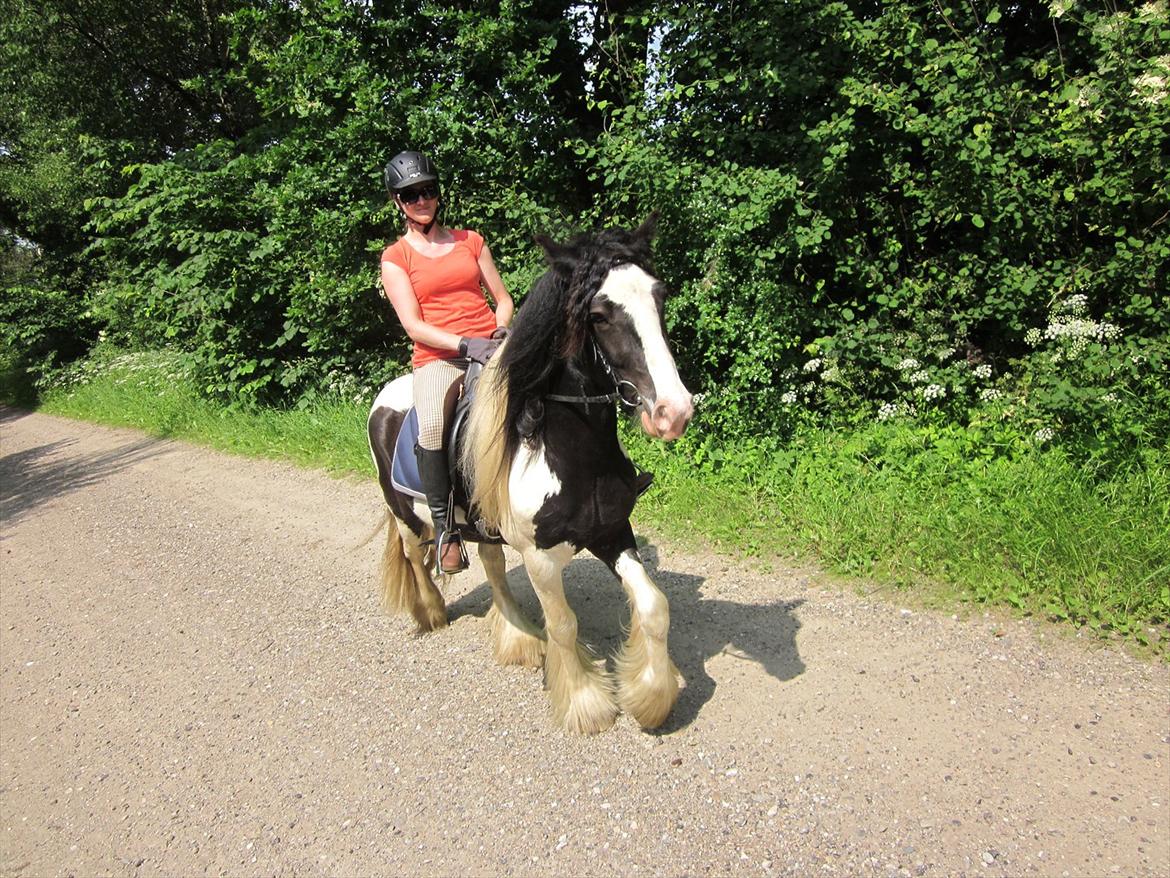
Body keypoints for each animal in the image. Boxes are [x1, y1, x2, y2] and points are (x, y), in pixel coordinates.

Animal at [369, 220, 687, 735]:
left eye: (659, 296)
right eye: (599, 315)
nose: (673, 412)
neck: (569, 452)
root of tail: (385, 398)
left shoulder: (612, 532)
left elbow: (653, 606)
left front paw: (652, 698)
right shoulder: (540, 558)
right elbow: (564, 625)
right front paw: (585, 703)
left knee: (493, 567)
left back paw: (519, 637)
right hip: (404, 513)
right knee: (418, 554)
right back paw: (432, 612)